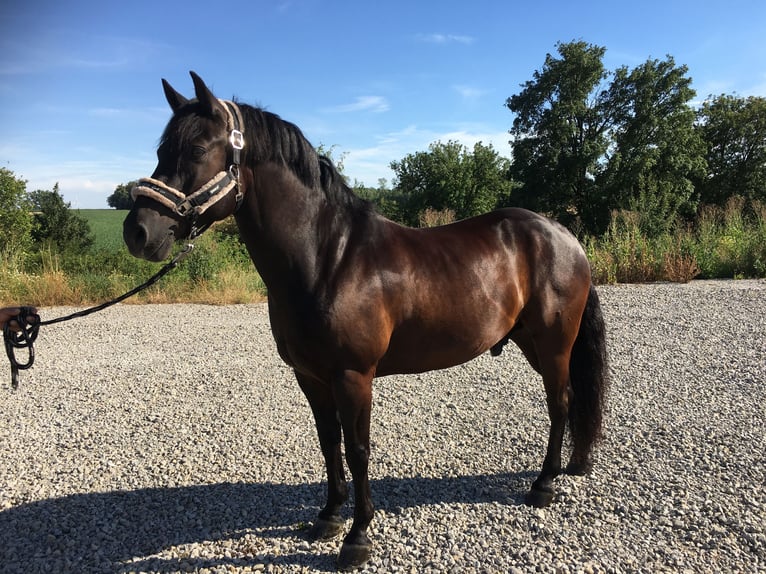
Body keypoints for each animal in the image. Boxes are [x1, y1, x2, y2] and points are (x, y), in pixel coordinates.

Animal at [121, 72, 612, 572]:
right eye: (162, 150)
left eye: (199, 149)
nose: (138, 232)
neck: (329, 259)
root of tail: (563, 235)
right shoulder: (311, 377)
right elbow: (328, 443)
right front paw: (328, 517)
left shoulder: (353, 376)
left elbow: (358, 450)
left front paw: (357, 537)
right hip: (531, 342)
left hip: (553, 345)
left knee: (560, 403)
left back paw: (544, 485)